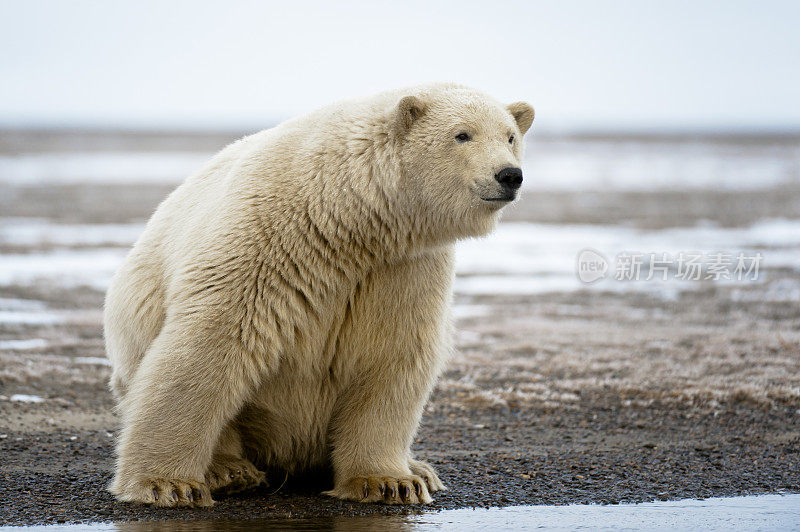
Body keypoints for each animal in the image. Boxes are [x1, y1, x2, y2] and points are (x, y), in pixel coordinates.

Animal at [103, 83, 536, 508]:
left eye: (510, 137)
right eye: (462, 134)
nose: (509, 175)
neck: (346, 214)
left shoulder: (403, 267)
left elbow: (392, 356)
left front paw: (390, 482)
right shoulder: (265, 244)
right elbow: (209, 346)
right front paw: (165, 484)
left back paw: (421, 468)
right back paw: (229, 470)